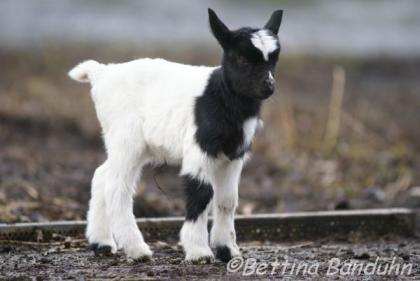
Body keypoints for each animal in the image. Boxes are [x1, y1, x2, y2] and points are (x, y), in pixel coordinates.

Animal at [69, 9, 282, 262]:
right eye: (242, 59)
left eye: (274, 59)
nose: (268, 85)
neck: (221, 97)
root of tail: (102, 73)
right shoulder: (199, 147)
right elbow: (202, 192)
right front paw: (199, 252)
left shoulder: (234, 154)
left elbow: (227, 199)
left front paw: (228, 250)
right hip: (126, 138)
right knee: (116, 185)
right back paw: (137, 249)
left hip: (129, 144)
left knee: (102, 174)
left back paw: (101, 243)